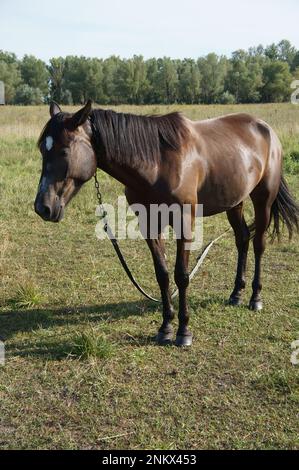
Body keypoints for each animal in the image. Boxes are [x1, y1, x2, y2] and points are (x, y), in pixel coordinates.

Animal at [35, 102, 299, 346]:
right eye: (41, 150)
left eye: (64, 151)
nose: (42, 207)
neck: (157, 164)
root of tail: (266, 129)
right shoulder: (149, 223)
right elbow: (162, 274)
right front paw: (165, 327)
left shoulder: (184, 222)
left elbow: (181, 275)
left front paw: (184, 332)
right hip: (235, 202)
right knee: (242, 239)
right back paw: (236, 294)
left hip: (264, 199)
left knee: (258, 245)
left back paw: (255, 298)